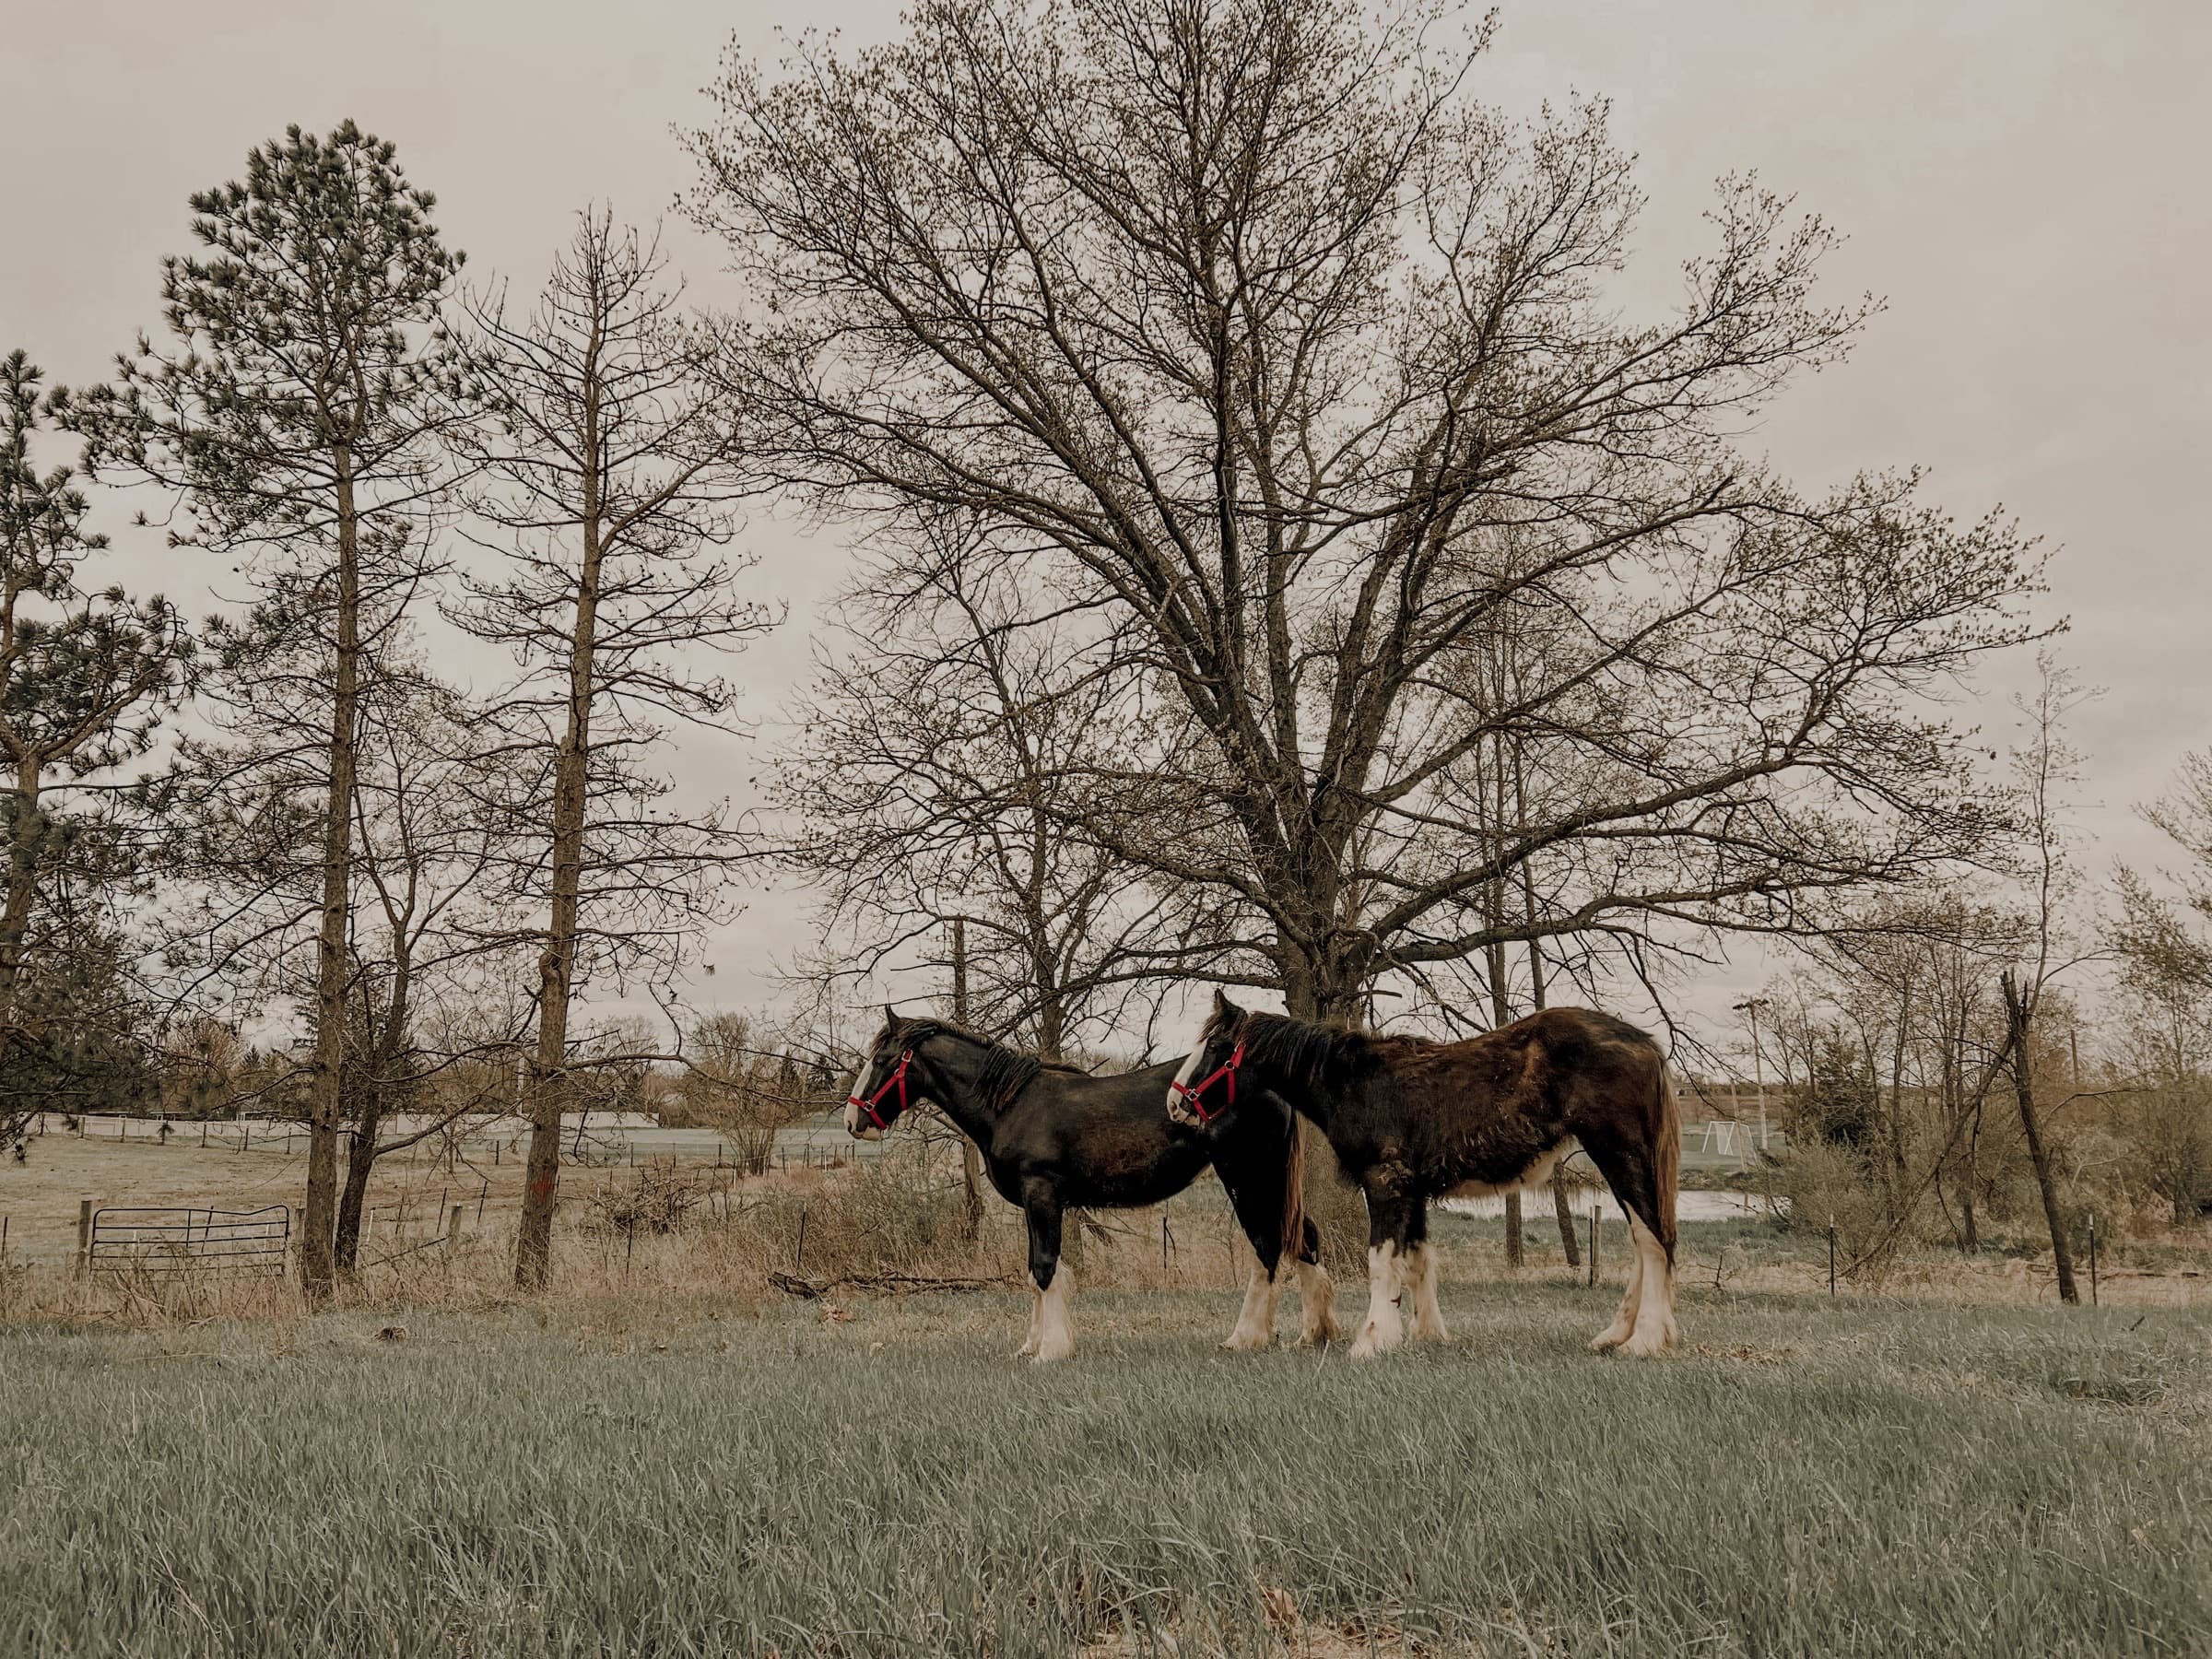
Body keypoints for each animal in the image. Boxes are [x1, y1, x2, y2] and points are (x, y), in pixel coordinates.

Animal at [844, 1008, 1339, 1361]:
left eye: (883, 1061)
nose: (852, 1120)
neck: (1010, 1105)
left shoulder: (1042, 1195)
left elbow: (1045, 1269)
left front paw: (1050, 1350)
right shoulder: (1033, 1205)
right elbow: (1033, 1272)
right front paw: (1030, 1345)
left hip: (1248, 1178)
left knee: (1267, 1248)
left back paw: (1245, 1338)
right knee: (1304, 1239)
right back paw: (1313, 1335)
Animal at [1165, 992, 1680, 1358]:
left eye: (1215, 1047)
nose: (1173, 1103)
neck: (1355, 1081)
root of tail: (1643, 1043)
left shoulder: (1385, 1184)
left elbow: (1380, 1262)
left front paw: (1372, 1339)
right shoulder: (1412, 1192)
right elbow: (1416, 1263)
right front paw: (1425, 1335)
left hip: (1620, 1155)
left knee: (1653, 1240)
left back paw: (1644, 1340)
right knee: (1644, 1241)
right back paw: (1615, 1334)